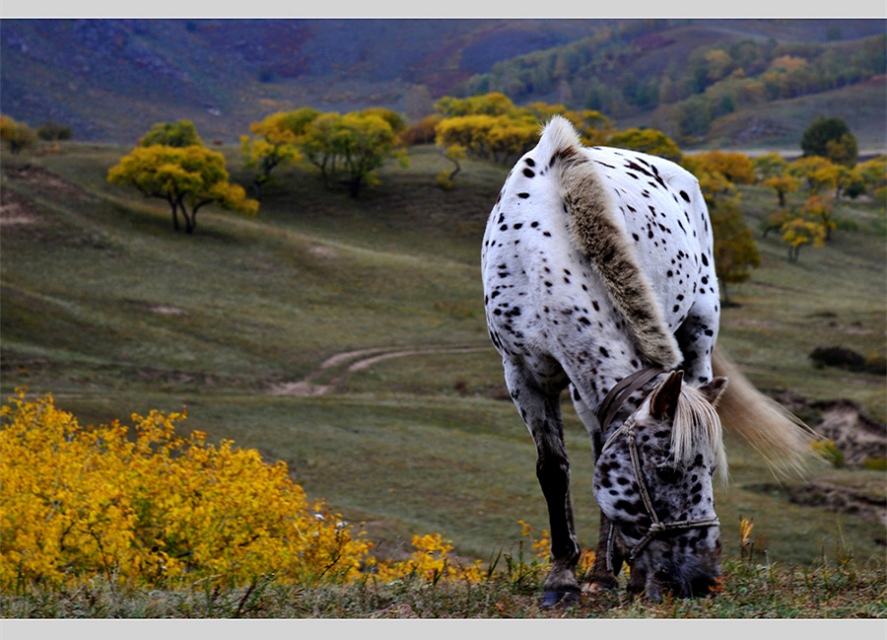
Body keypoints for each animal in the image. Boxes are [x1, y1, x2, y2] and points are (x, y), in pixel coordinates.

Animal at [482, 116, 816, 604]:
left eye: (709, 469)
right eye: (666, 470)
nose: (702, 580)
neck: (539, 245)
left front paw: (611, 574)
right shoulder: (522, 374)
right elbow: (553, 470)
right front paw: (562, 579)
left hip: (699, 336)